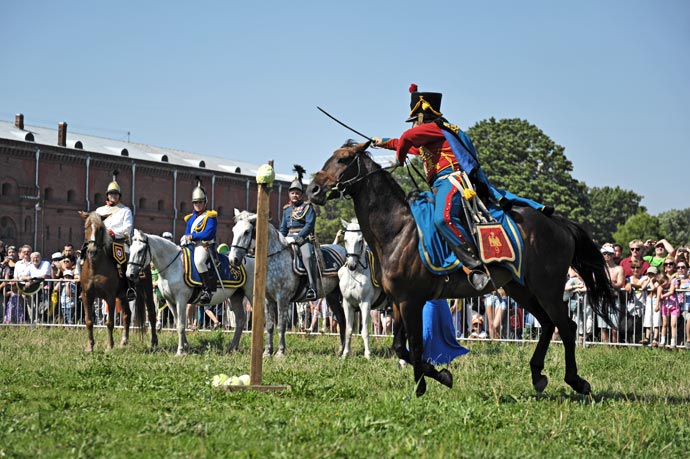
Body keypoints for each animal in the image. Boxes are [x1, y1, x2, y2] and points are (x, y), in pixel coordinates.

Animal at [78, 212, 157, 352]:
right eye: (86, 227)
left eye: (100, 229)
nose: (92, 251)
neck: (95, 268)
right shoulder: (87, 296)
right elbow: (89, 321)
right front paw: (90, 346)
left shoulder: (110, 297)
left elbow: (109, 322)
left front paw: (110, 346)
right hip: (123, 296)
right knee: (127, 315)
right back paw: (124, 341)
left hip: (147, 290)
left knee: (152, 313)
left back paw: (153, 342)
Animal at [340, 217, 392, 358]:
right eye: (345, 240)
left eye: (360, 241)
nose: (351, 265)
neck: (355, 275)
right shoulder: (347, 304)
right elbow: (348, 330)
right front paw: (345, 354)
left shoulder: (365, 304)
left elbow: (364, 331)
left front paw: (367, 354)